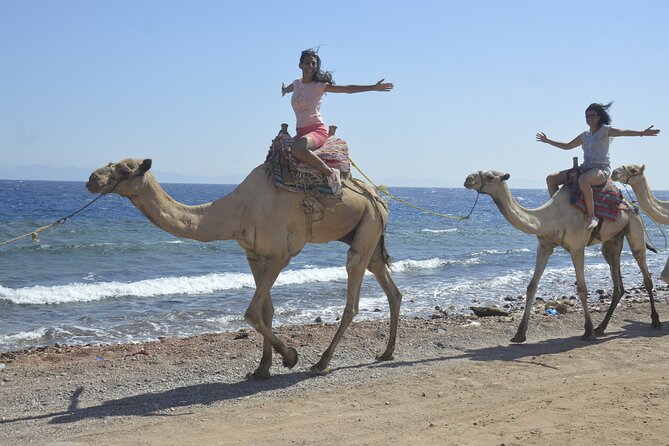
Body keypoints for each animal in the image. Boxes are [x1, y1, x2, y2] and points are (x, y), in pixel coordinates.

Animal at [86, 158, 403, 379]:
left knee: (353, 288)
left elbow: (251, 313)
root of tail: (380, 197)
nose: (91, 178)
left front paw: (290, 356)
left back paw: (322, 362)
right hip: (369, 233)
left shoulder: (280, 255)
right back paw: (387, 352)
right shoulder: (254, 255)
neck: (236, 212)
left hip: (368, 224)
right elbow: (266, 311)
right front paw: (262, 369)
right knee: (391, 289)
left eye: (125, 170)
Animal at [463, 170, 661, 343]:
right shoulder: (544, 246)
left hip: (635, 228)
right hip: (613, 241)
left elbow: (581, 289)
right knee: (617, 282)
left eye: (490, 176)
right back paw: (602, 327)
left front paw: (588, 331)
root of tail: (631, 204)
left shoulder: (577, 248)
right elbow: (531, 286)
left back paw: (655, 320)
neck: (549, 218)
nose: (468, 179)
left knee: (644, 270)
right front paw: (519, 334)